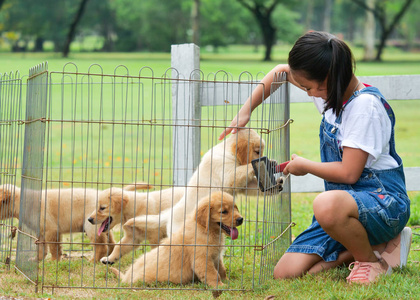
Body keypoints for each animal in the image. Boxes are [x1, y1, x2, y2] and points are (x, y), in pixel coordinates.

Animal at [0, 182, 151, 262]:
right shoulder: (42, 233)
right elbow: (43, 249)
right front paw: (37, 260)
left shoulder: (51, 230)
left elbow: (54, 249)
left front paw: (54, 262)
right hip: (103, 228)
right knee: (111, 244)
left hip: (91, 226)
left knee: (101, 246)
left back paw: (92, 262)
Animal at [102, 127, 276, 264]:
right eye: (257, 151)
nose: (264, 158)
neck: (227, 152)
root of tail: (169, 214)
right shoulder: (228, 175)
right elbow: (242, 171)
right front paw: (261, 165)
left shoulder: (243, 185)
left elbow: (254, 187)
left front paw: (278, 183)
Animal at [111, 191, 243, 290]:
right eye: (224, 212)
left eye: (235, 207)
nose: (241, 219)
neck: (206, 230)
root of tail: (126, 277)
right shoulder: (202, 259)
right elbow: (213, 274)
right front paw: (220, 286)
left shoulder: (216, 256)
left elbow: (222, 270)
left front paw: (228, 281)